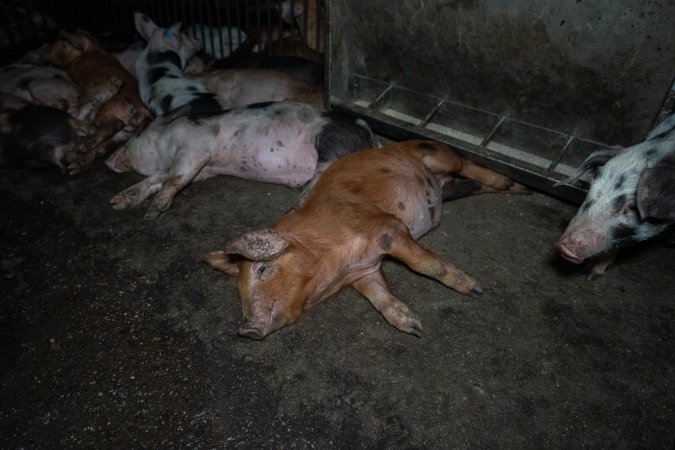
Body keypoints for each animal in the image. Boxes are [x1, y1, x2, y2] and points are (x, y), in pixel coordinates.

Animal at [104, 100, 374, 220]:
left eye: (137, 133)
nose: (107, 159)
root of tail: (368, 134)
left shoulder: (194, 148)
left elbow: (174, 178)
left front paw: (152, 213)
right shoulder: (204, 170)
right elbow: (157, 179)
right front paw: (117, 202)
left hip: (332, 146)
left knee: (321, 177)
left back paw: (295, 207)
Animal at [203, 139, 532, 340]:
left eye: (262, 269)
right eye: (239, 290)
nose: (245, 329)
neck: (331, 266)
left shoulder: (387, 229)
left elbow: (426, 266)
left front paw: (476, 290)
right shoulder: (365, 271)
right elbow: (380, 298)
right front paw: (415, 328)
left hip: (436, 154)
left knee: (465, 163)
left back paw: (512, 184)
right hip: (451, 188)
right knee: (470, 184)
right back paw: (519, 190)